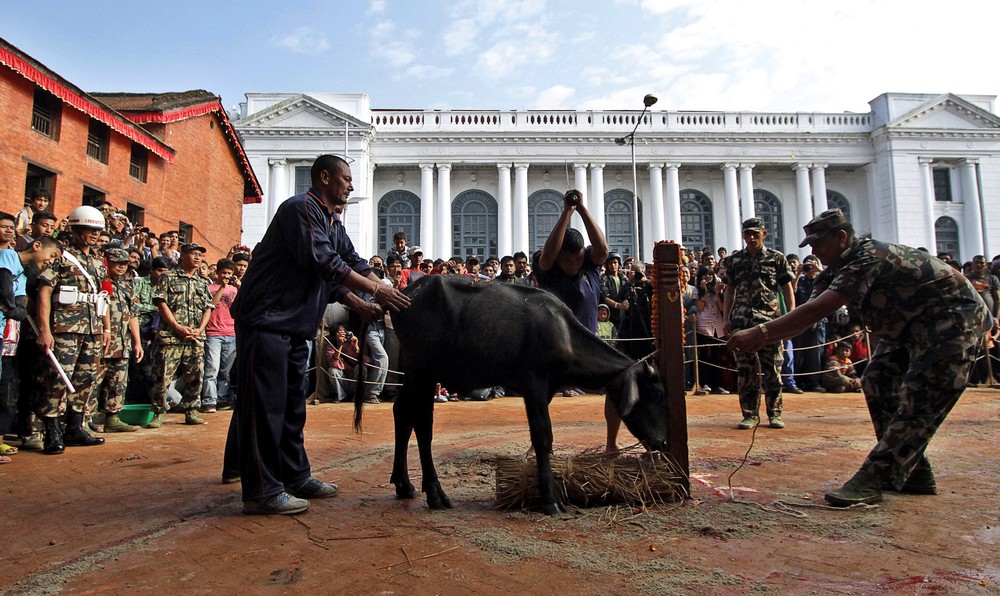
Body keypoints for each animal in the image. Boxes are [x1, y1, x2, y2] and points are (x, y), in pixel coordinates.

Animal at [356, 274, 668, 512]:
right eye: (655, 394)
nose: (662, 442)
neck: (563, 333)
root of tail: (404, 294)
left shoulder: (546, 389)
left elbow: (543, 442)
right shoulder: (534, 383)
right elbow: (543, 436)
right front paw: (550, 501)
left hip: (414, 371)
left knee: (403, 413)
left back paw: (404, 485)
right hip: (425, 369)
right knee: (422, 423)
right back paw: (435, 493)